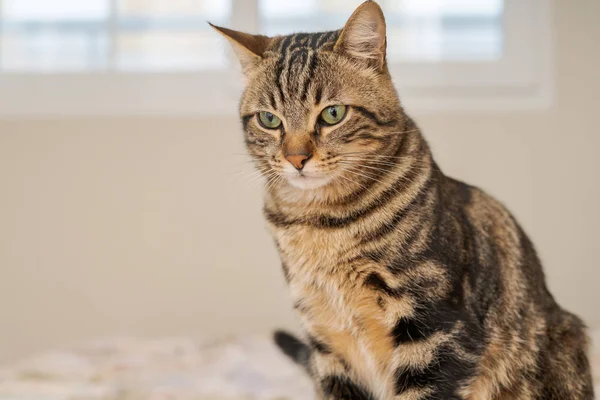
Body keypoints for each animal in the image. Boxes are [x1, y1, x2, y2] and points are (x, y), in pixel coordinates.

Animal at [210, 1, 592, 398]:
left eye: (333, 113)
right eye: (269, 120)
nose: (296, 158)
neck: (319, 224)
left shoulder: (436, 327)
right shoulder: (325, 338)